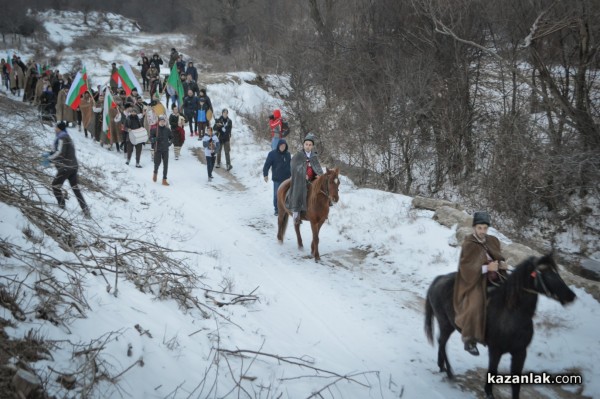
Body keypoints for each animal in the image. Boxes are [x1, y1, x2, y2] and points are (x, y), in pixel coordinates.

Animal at [424, 255, 576, 398]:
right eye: (547, 274)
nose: (571, 296)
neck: (512, 313)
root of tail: (439, 279)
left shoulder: (520, 352)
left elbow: (516, 382)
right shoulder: (495, 350)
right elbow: (493, 371)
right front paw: (489, 393)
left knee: (441, 343)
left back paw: (442, 367)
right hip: (445, 324)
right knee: (442, 342)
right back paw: (449, 372)